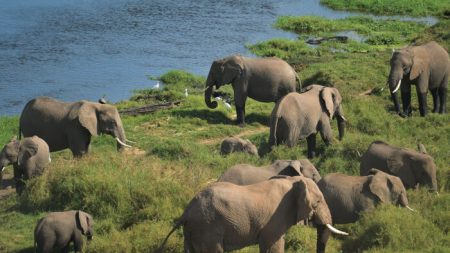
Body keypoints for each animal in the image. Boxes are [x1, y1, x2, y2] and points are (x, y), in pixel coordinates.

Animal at [158, 176, 348, 253]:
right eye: (318, 202)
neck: (292, 181)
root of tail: (186, 212)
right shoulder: (275, 220)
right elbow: (272, 246)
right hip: (207, 228)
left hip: (193, 231)